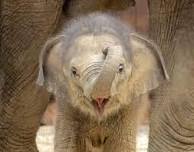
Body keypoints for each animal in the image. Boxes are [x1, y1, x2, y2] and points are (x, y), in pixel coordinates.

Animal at [36, 13, 168, 152]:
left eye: (120, 68)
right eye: (74, 71)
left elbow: (120, 146)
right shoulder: (67, 107)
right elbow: (68, 143)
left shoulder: (129, 107)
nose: (106, 49)